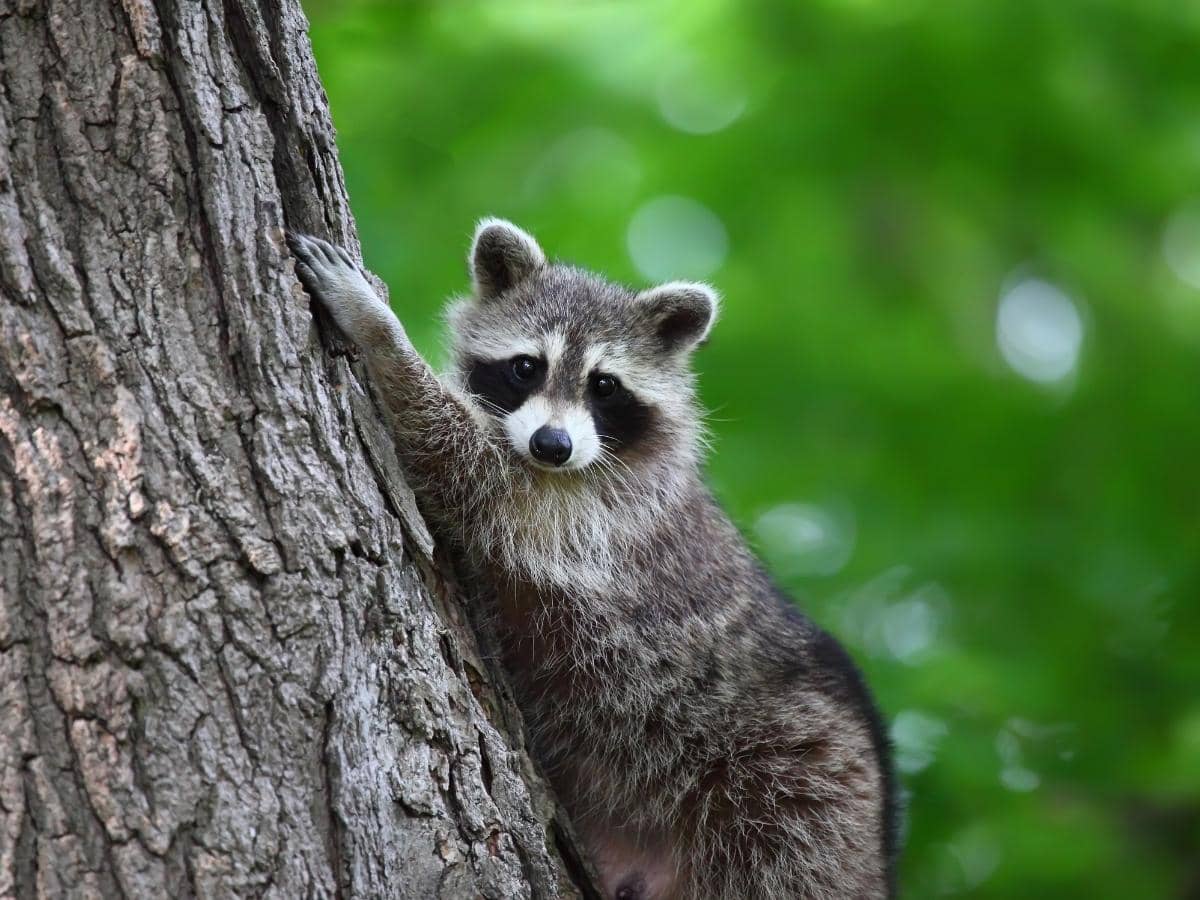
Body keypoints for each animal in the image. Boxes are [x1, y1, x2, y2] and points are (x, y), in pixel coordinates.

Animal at [287, 221, 899, 899]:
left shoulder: (598, 516)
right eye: (527, 367)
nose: (551, 445)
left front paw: (378, 329)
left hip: (793, 799)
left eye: (604, 385)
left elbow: (466, 464)